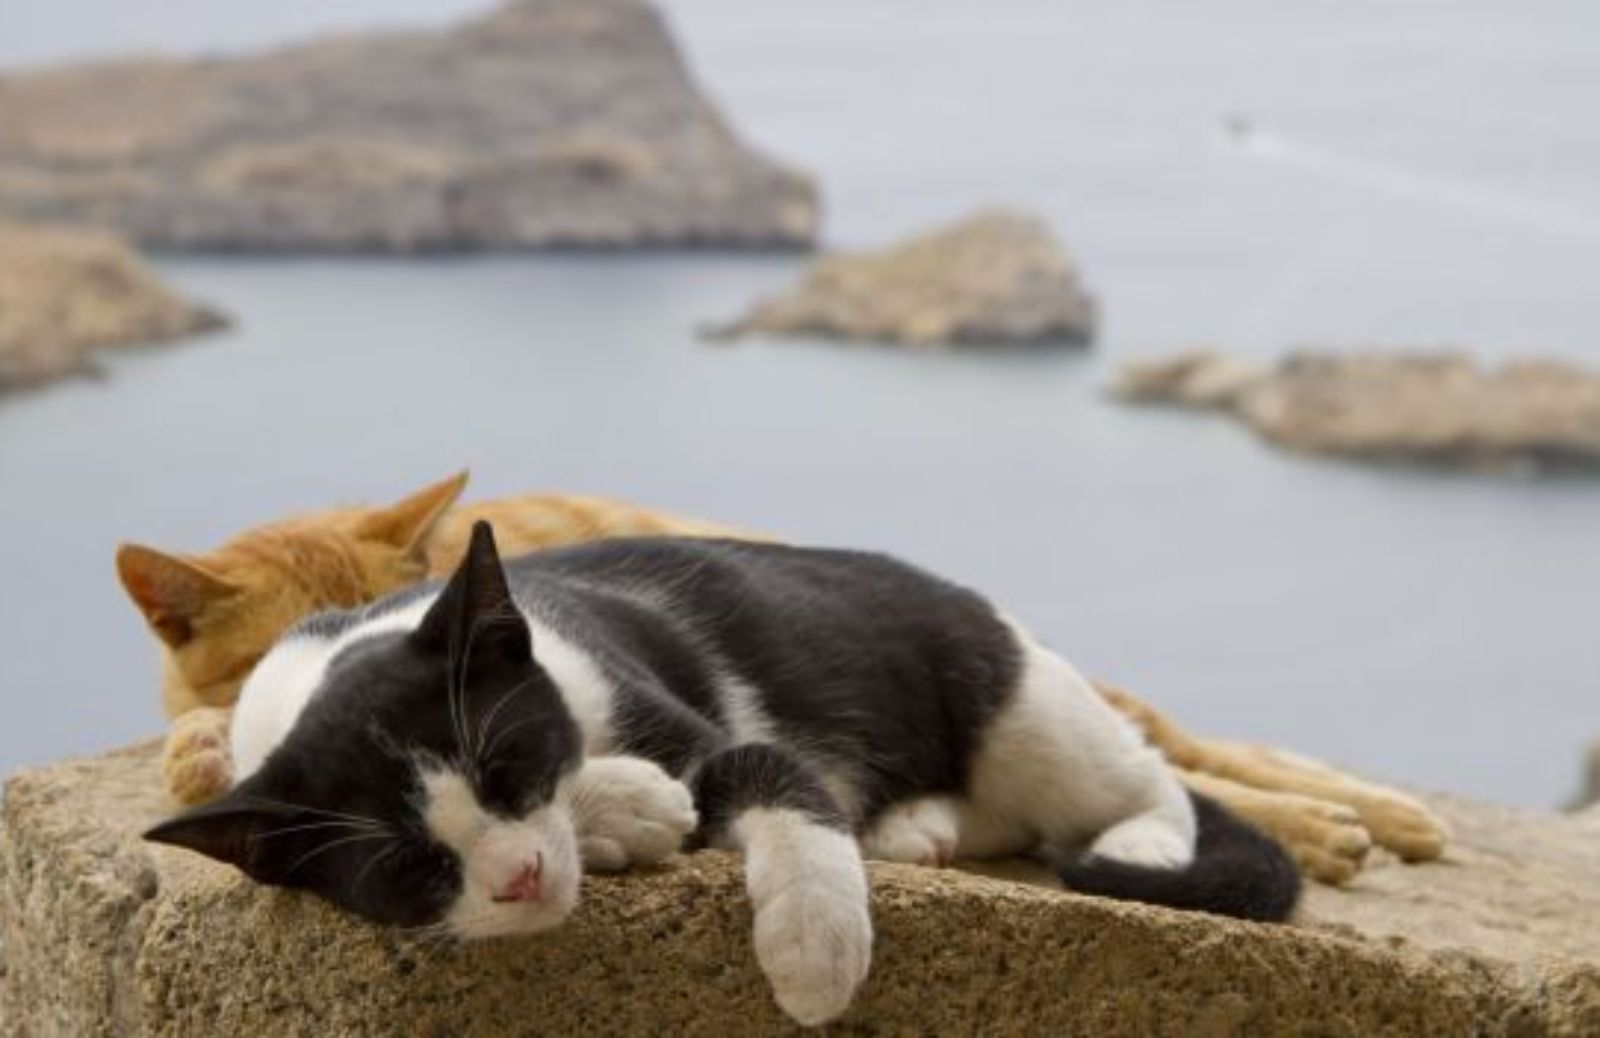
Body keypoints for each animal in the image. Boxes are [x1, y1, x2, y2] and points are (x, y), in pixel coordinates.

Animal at [147, 521, 1299, 1023]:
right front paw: (626, 809)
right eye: (409, 867)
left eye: (508, 764)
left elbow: (766, 775)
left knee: (1135, 775)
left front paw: (813, 947)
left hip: (1016, 704)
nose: (520, 878)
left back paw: (1140, 833)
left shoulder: (670, 705)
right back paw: (911, 824)